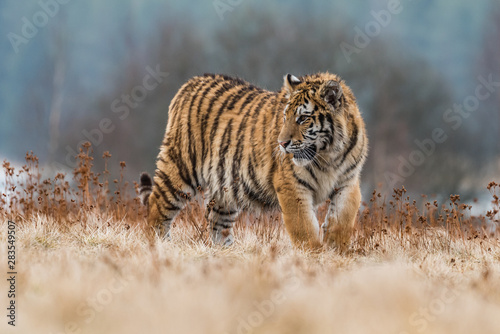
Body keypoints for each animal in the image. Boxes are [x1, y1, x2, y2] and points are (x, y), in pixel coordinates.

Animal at [140, 73, 368, 250]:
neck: (328, 156)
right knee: (156, 209)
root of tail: (190, 83)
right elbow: (303, 228)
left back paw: (226, 253)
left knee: (216, 222)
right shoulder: (292, 186)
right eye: (285, 117)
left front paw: (335, 250)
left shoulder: (347, 182)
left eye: (303, 119)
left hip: (224, 188)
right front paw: (314, 255)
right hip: (180, 170)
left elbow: (343, 219)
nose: (282, 143)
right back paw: (159, 247)